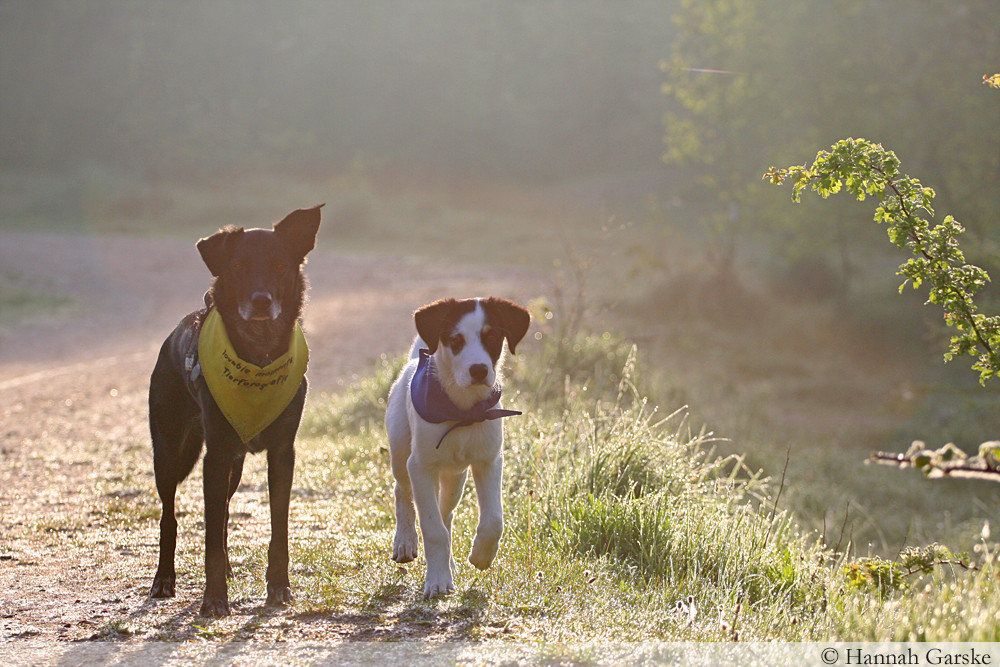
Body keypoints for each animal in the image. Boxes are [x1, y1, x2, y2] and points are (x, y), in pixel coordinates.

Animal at [384, 298, 532, 600]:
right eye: (455, 340)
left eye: (492, 337)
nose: (479, 370)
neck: (462, 411)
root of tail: (414, 360)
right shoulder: (421, 467)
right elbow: (432, 529)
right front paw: (437, 581)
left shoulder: (488, 461)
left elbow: (493, 520)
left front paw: (481, 556)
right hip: (401, 455)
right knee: (403, 492)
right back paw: (405, 542)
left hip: (455, 478)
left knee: (446, 513)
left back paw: (448, 562)